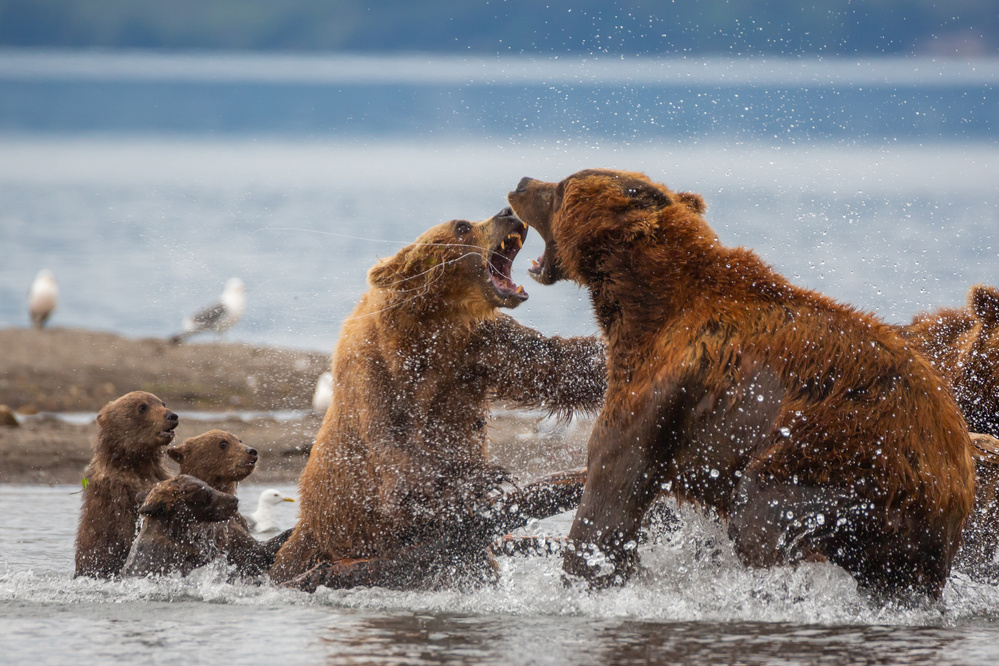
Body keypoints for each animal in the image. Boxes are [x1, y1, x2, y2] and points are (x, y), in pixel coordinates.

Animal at [75, 390, 179, 576]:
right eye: (142, 407)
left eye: (162, 403)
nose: (172, 416)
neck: (135, 462)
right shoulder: (118, 495)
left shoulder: (160, 476)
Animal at [270, 209, 604, 592]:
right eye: (462, 226)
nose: (507, 213)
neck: (433, 323)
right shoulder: (376, 372)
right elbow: (396, 454)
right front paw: (483, 478)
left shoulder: (482, 348)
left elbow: (558, 364)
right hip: (324, 539)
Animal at [508, 169, 976, 600]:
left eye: (561, 188)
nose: (522, 182)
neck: (642, 303)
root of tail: (955, 473)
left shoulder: (656, 387)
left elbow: (612, 485)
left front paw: (585, 576)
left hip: (840, 454)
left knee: (760, 522)